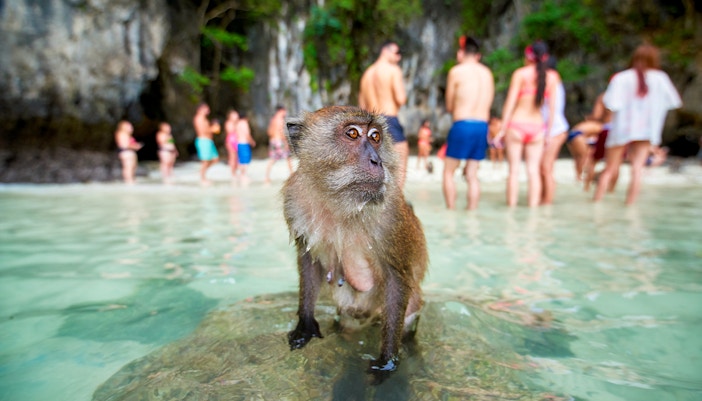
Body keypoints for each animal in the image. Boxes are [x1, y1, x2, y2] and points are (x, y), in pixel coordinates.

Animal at [282, 105, 428, 376]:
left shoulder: (391, 216)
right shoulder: (294, 201)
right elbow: (309, 262)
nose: (377, 160)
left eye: (375, 136)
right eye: (352, 133)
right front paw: (305, 325)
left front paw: (388, 361)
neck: (340, 201)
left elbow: (396, 279)